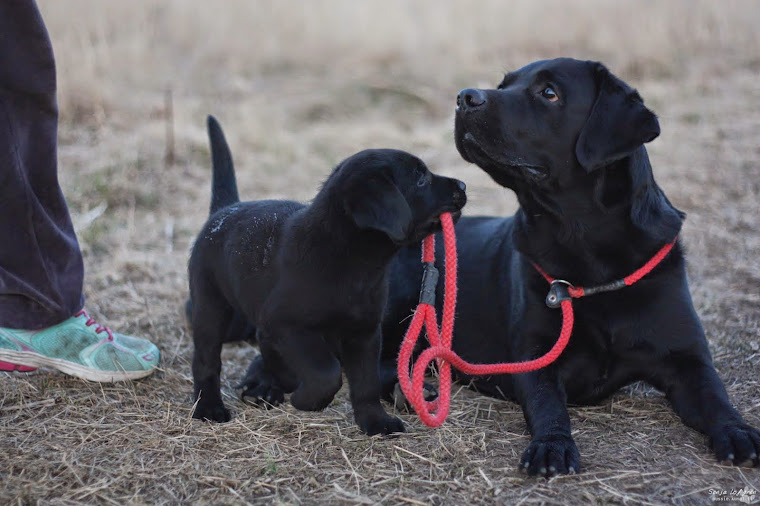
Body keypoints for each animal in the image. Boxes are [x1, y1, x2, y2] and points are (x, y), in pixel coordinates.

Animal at [187, 115, 466, 434]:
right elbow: (327, 372)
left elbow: (366, 383)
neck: (354, 265)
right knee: (206, 360)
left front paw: (375, 422)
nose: (463, 184)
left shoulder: (365, 332)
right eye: (420, 179)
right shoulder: (287, 325)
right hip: (210, 307)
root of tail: (223, 211)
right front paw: (308, 400)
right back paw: (209, 407)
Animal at [382, 59, 760, 474]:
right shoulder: (534, 357)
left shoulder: (687, 359)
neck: (587, 251)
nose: (465, 97)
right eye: (504, 84)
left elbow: (716, 397)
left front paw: (738, 432)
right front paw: (552, 446)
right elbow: (548, 406)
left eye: (549, 93)